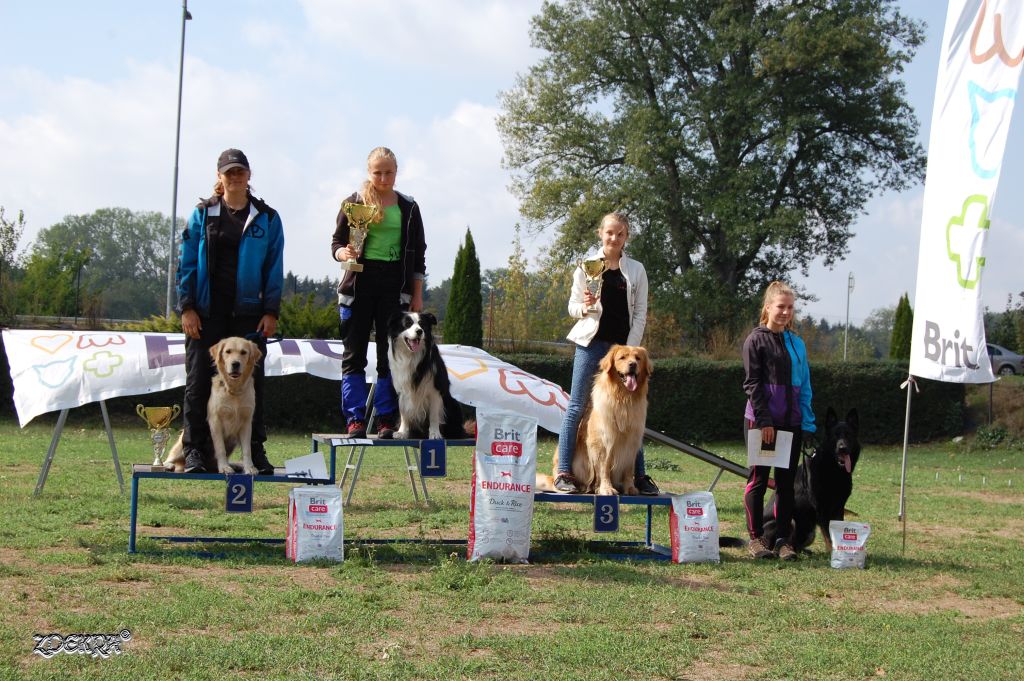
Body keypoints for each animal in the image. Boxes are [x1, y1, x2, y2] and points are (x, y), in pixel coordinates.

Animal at [765, 405, 860, 548]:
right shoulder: (821, 509)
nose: (842, 448)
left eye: (848, 435)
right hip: (791, 522)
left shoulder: (839, 508)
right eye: (835, 435)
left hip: (810, 533)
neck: (833, 470)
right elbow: (829, 537)